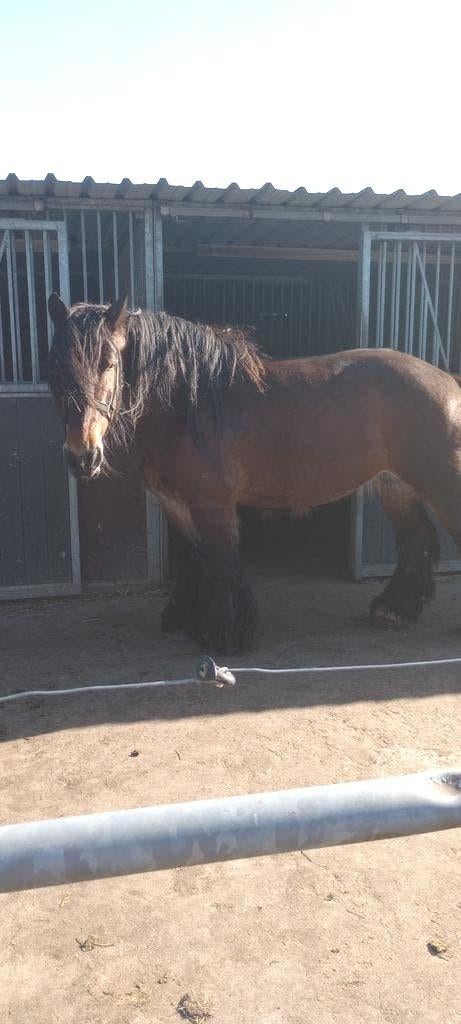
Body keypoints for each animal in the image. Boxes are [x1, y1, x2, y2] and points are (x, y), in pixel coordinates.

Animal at [47, 292, 461, 654]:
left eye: (109, 363)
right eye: (57, 369)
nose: (82, 457)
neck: (189, 406)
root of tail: (448, 382)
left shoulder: (213, 505)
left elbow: (222, 563)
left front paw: (225, 636)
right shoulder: (176, 504)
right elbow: (192, 559)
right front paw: (182, 619)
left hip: (440, 486)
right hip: (397, 486)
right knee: (416, 539)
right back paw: (394, 610)